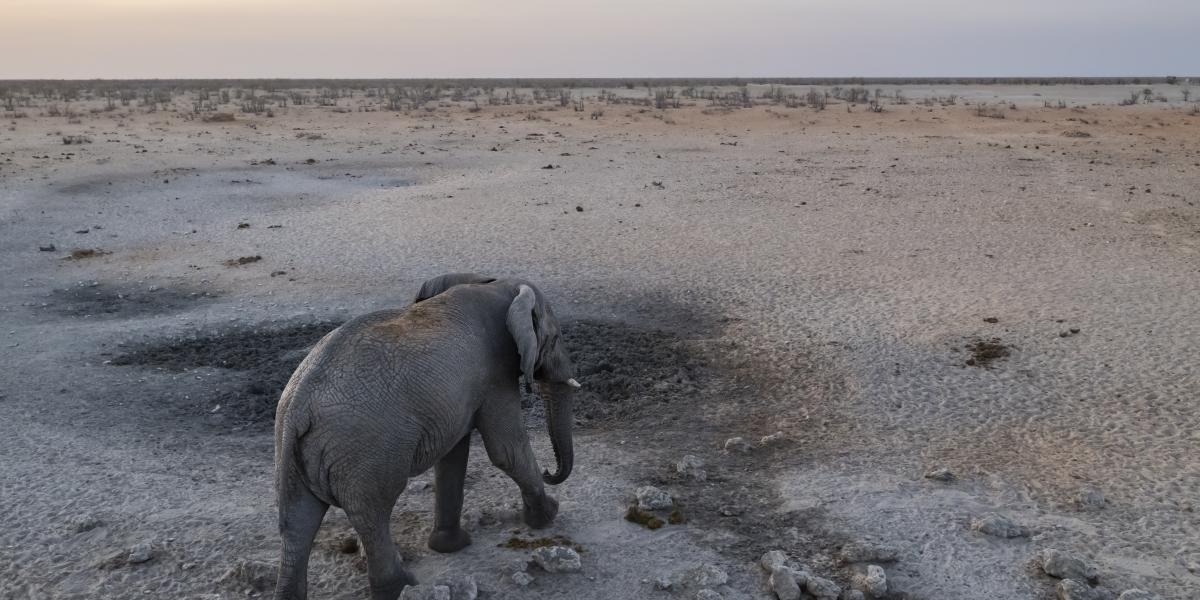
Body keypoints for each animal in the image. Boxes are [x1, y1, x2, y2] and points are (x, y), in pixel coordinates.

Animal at [277, 273, 585, 600]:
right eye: (555, 338)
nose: (550, 471)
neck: (498, 285)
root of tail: (297, 407)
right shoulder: (495, 373)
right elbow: (506, 450)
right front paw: (549, 516)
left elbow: (452, 458)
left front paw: (451, 546)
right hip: (364, 449)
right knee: (372, 513)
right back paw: (401, 586)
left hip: (292, 454)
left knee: (297, 523)